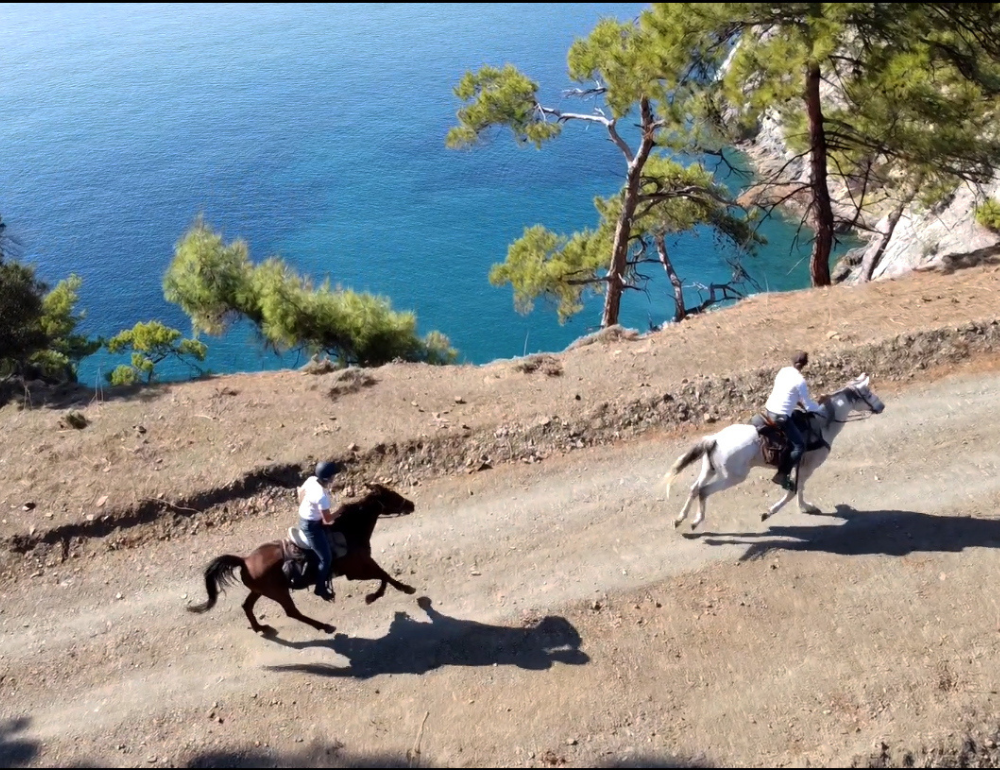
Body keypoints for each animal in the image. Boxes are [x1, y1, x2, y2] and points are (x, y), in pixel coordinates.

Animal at [188, 480, 418, 636]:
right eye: (392, 496)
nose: (411, 505)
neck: (348, 530)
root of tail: (244, 560)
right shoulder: (356, 570)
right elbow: (384, 576)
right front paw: (397, 591)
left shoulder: (361, 567)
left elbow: (383, 575)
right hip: (279, 593)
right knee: (292, 612)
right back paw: (324, 626)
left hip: (261, 591)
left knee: (247, 606)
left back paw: (260, 627)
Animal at [664, 372, 884, 528]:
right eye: (868, 393)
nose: (881, 406)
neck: (822, 425)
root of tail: (715, 439)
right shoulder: (808, 466)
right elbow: (794, 490)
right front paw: (771, 512)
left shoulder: (801, 467)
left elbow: (797, 489)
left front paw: (805, 507)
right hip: (732, 477)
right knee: (703, 491)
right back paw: (696, 521)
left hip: (709, 469)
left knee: (694, 489)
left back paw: (679, 519)